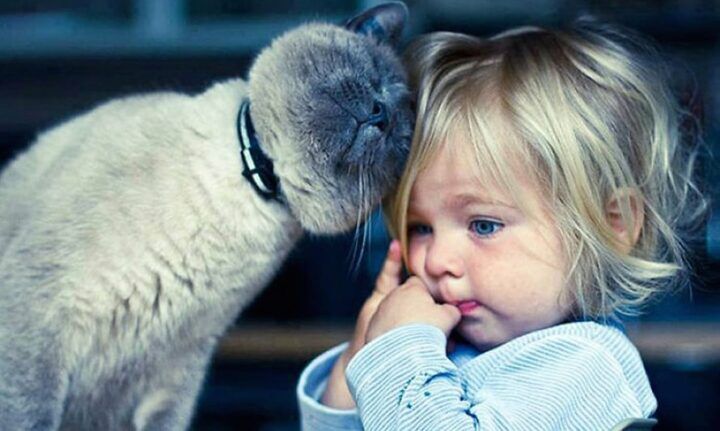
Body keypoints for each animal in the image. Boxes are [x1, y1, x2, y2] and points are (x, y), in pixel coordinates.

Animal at [0, 2, 414, 428]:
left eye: (401, 134)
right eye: (374, 77)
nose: (381, 113)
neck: (249, 185)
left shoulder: (181, 367)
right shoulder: (38, 319)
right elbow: (29, 415)